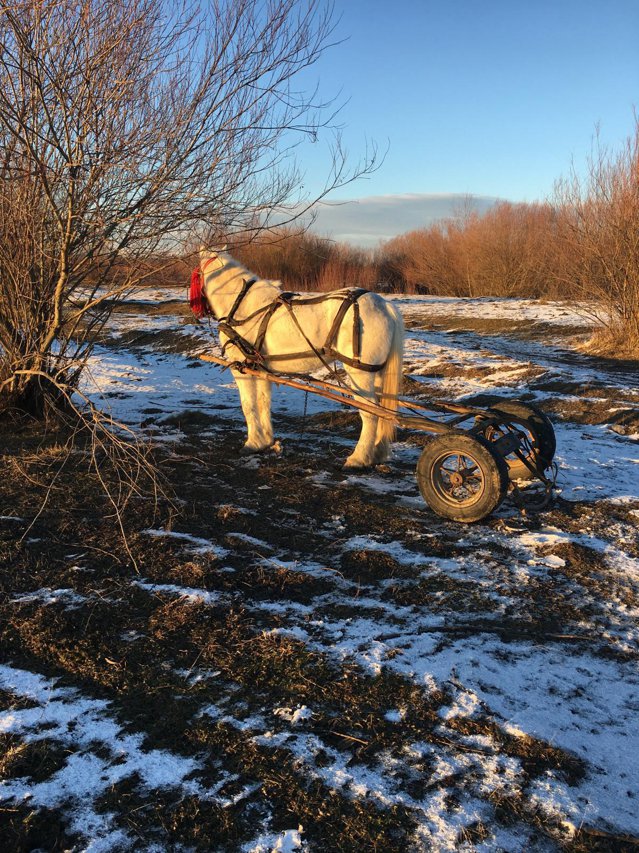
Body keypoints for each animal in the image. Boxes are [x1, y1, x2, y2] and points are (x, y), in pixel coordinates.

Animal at [199, 248, 404, 466]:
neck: (241, 303)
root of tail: (386, 305)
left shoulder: (241, 368)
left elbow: (248, 404)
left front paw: (252, 443)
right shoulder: (260, 368)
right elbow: (263, 402)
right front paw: (264, 441)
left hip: (360, 373)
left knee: (370, 413)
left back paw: (358, 458)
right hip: (377, 372)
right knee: (383, 412)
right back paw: (378, 452)